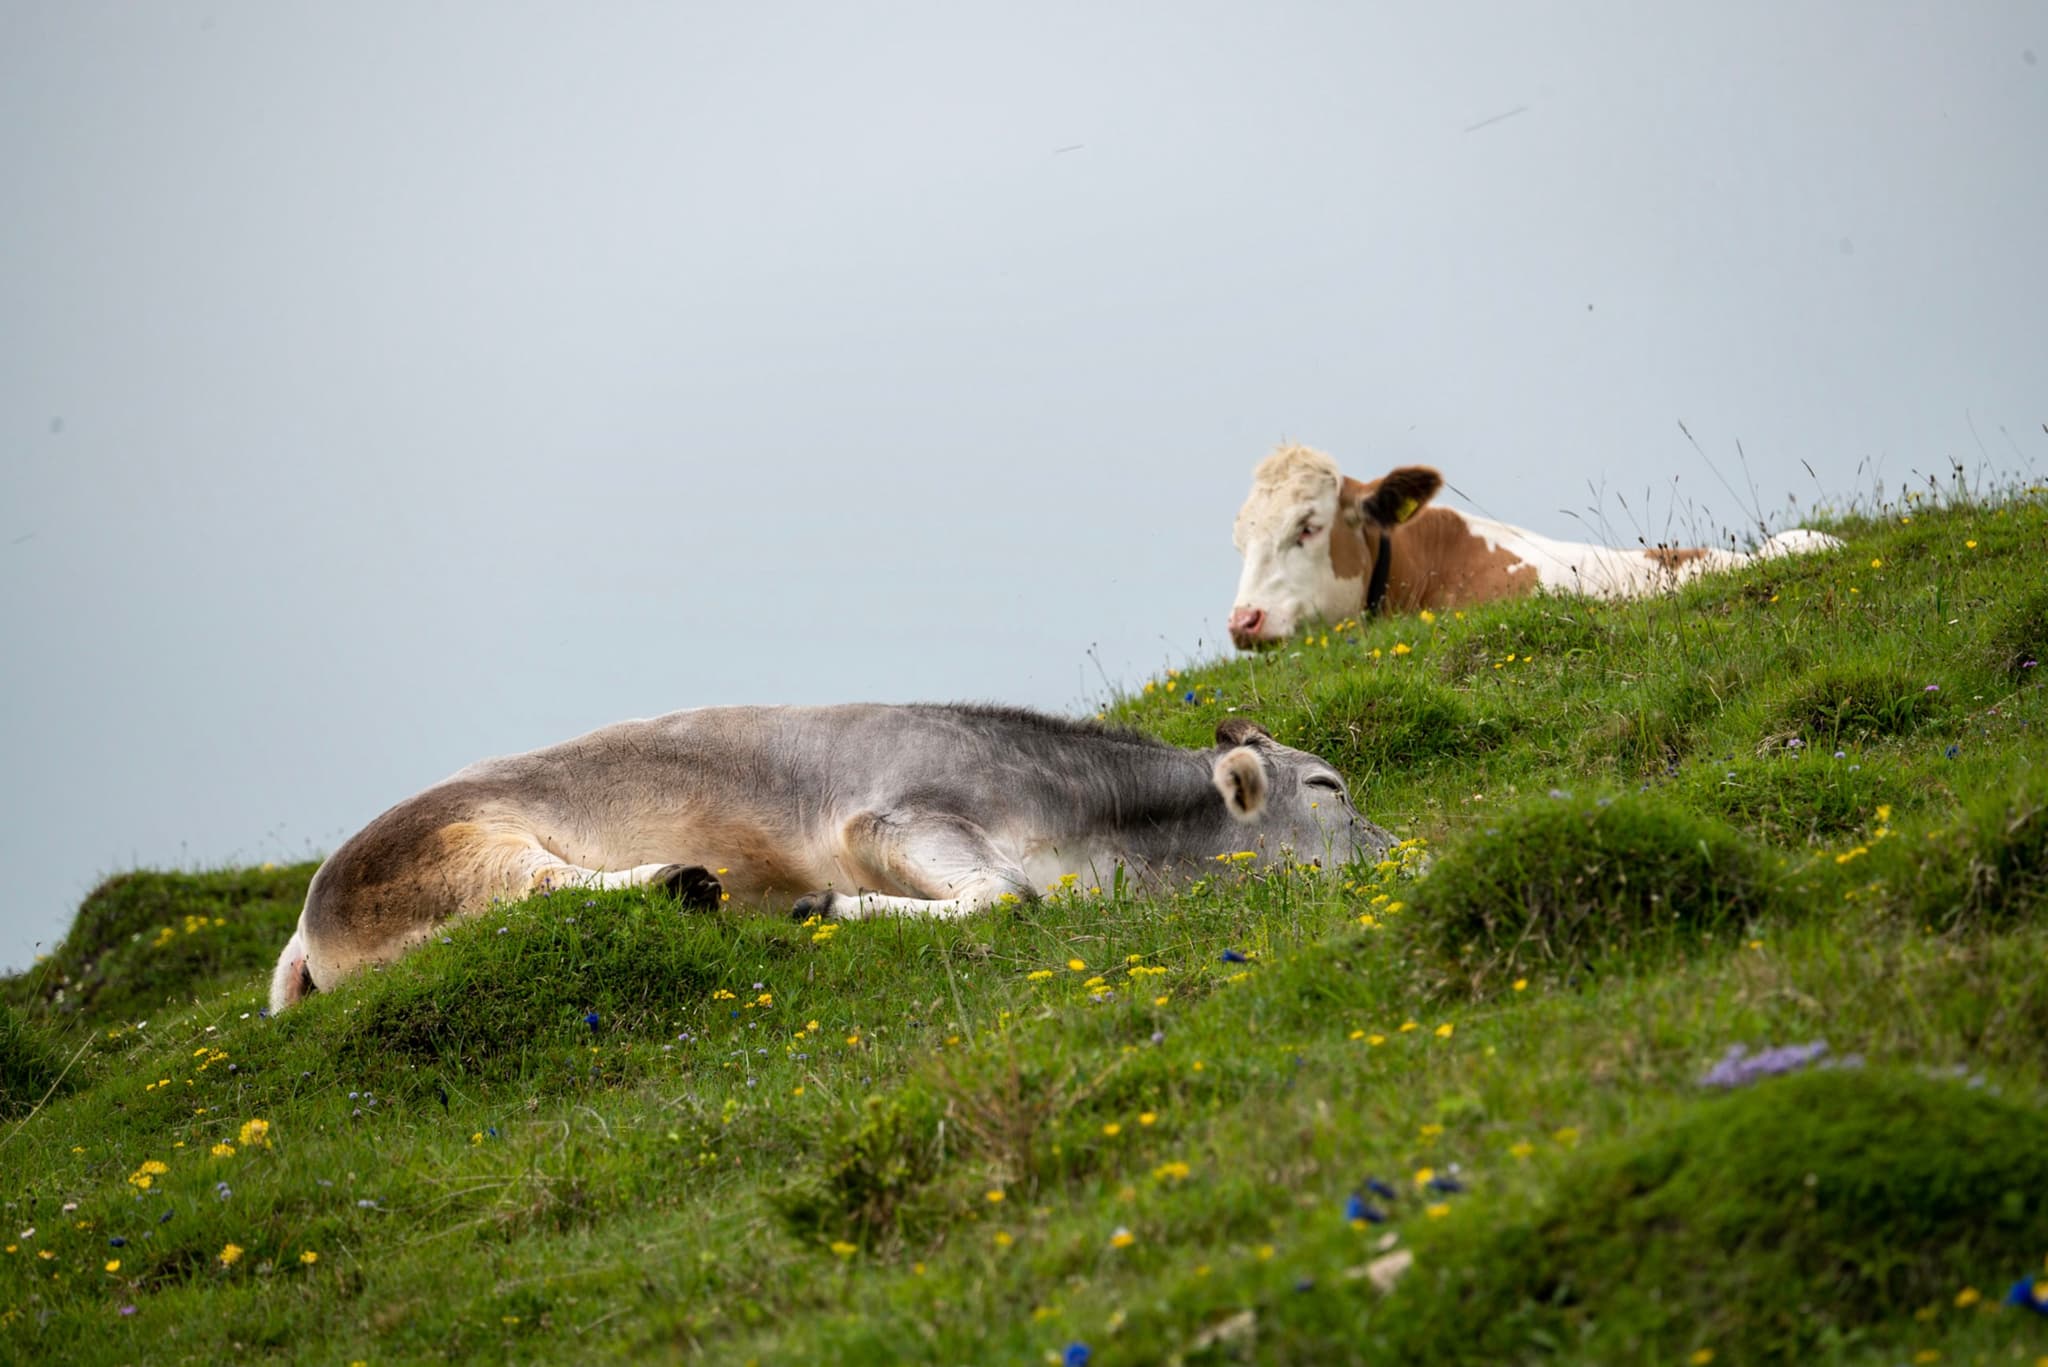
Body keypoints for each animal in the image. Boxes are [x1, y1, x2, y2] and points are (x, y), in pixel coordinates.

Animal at [269, 704, 1389, 1012]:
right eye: (1327, 785)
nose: (1395, 847)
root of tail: (308, 914)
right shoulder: (890, 817)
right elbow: (1004, 898)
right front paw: (831, 909)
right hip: (459, 842)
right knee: (545, 892)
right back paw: (685, 884)